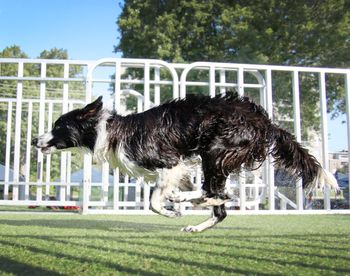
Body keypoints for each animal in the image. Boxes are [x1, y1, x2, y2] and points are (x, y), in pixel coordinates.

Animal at [32, 94, 340, 232]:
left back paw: (190, 202)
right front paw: (177, 209)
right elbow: (171, 194)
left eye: (58, 126)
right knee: (219, 204)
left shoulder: (170, 162)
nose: (35, 139)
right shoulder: (176, 172)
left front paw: (171, 210)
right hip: (217, 158)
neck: (109, 130)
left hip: (215, 151)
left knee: (218, 193)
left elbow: (154, 202)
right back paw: (196, 220)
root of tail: (266, 123)